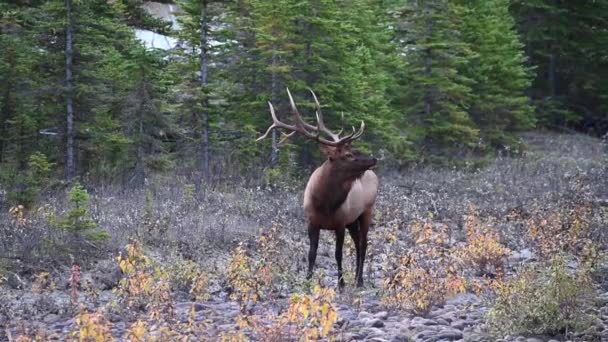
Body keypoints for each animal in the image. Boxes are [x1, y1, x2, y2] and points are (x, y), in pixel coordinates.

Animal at [255, 89, 378, 288]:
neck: (324, 203)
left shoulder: (340, 223)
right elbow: (312, 253)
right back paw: (357, 279)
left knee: (364, 243)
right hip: (353, 220)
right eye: (348, 154)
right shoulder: (312, 222)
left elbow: (338, 254)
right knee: (358, 242)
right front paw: (307, 280)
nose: (373, 158)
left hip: (367, 211)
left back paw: (359, 280)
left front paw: (341, 284)